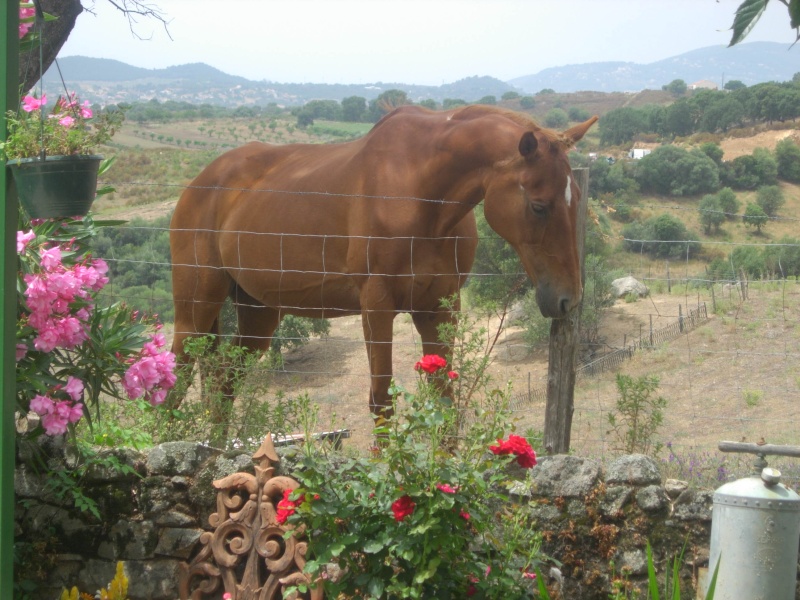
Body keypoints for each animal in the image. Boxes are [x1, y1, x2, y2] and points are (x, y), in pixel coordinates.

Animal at [169, 104, 592, 418]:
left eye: (576, 201)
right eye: (538, 206)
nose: (567, 299)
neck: (420, 194)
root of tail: (200, 183)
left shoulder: (441, 307)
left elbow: (443, 398)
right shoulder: (376, 305)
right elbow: (381, 400)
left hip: (258, 312)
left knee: (223, 384)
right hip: (197, 307)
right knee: (177, 381)